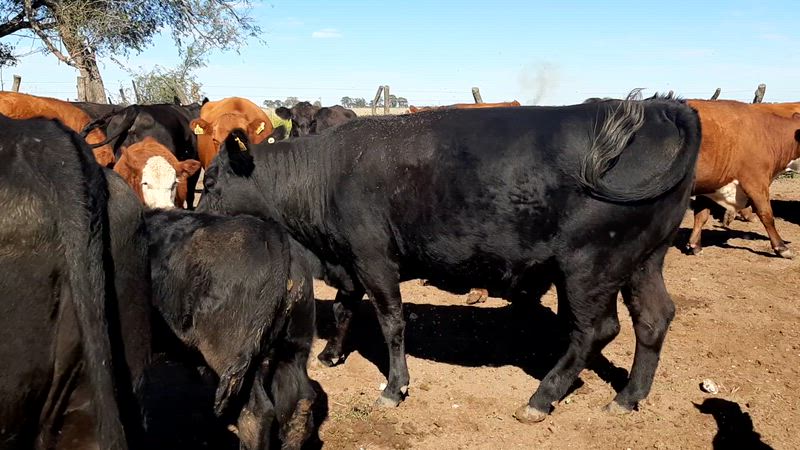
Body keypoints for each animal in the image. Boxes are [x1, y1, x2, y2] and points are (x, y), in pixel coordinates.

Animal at [197, 95, 702, 422]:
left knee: (595, 330)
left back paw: (542, 398)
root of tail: (660, 108)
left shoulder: (374, 258)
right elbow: (342, 307)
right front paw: (331, 354)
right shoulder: (350, 259)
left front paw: (394, 387)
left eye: (212, 181)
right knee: (653, 319)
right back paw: (628, 396)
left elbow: (392, 322)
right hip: (643, 259)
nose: (196, 219)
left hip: (588, 265)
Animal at [685, 100, 800, 258]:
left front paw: (695, 245)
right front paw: (781, 247)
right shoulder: (755, 182)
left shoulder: (711, 184)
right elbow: (766, 214)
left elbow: (701, 216)